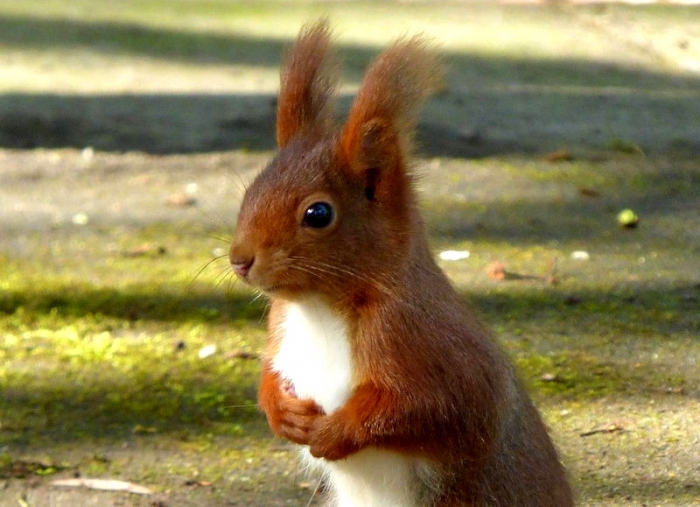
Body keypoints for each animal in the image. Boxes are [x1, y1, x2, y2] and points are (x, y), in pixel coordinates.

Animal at [229, 20, 574, 507]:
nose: (240, 260)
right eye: (251, 190)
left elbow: (432, 409)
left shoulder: (422, 340)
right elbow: (268, 375)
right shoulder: (281, 330)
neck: (319, 306)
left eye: (318, 214)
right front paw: (283, 413)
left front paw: (336, 432)